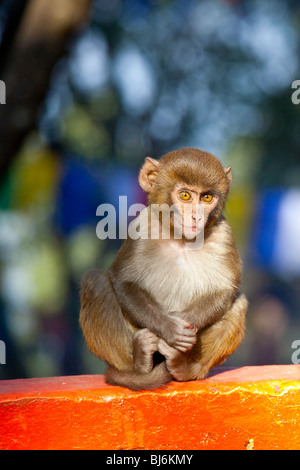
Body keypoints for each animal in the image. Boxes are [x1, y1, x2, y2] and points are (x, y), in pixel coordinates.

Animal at [79, 149, 248, 392]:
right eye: (185, 195)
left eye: (207, 198)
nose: (197, 216)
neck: (180, 239)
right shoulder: (142, 227)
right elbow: (124, 281)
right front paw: (169, 329)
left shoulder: (224, 234)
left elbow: (225, 290)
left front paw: (181, 329)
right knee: (95, 283)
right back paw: (139, 365)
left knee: (239, 303)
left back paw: (184, 367)